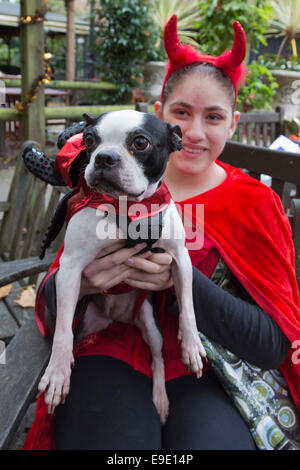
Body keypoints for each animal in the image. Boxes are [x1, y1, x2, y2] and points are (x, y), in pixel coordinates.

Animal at [23, 110, 206, 422]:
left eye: (141, 143)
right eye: (88, 139)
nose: (104, 157)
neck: (127, 207)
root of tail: (116, 318)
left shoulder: (180, 258)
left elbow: (188, 308)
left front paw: (192, 344)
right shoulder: (70, 269)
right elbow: (62, 331)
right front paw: (57, 374)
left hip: (150, 324)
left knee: (157, 358)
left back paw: (160, 398)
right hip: (84, 320)